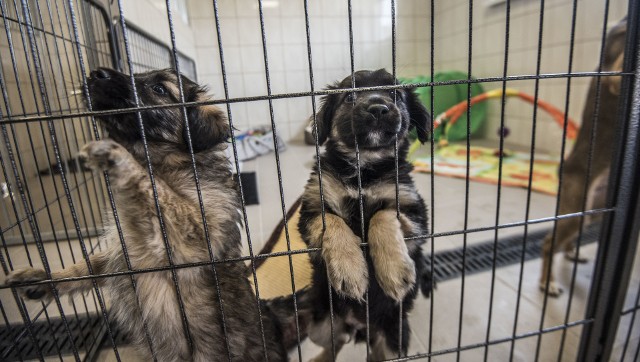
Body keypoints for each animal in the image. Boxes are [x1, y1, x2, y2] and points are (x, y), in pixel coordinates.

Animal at [5, 68, 300, 362]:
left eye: (159, 89)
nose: (96, 72)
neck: (173, 163)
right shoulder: (121, 249)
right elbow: (87, 266)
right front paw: (45, 278)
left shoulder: (198, 239)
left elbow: (156, 188)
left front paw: (120, 157)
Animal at [300, 69, 436, 360]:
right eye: (349, 96)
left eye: (395, 95)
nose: (378, 108)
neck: (365, 169)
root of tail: (359, 326)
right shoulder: (312, 209)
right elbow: (334, 221)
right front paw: (349, 270)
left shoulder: (415, 213)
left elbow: (382, 215)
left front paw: (394, 270)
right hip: (320, 325)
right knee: (334, 343)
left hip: (393, 339)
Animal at [540, 17, 624, 296]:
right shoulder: (615, 75)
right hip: (576, 211)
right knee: (548, 244)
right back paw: (547, 283)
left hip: (590, 213)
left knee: (565, 241)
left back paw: (572, 254)